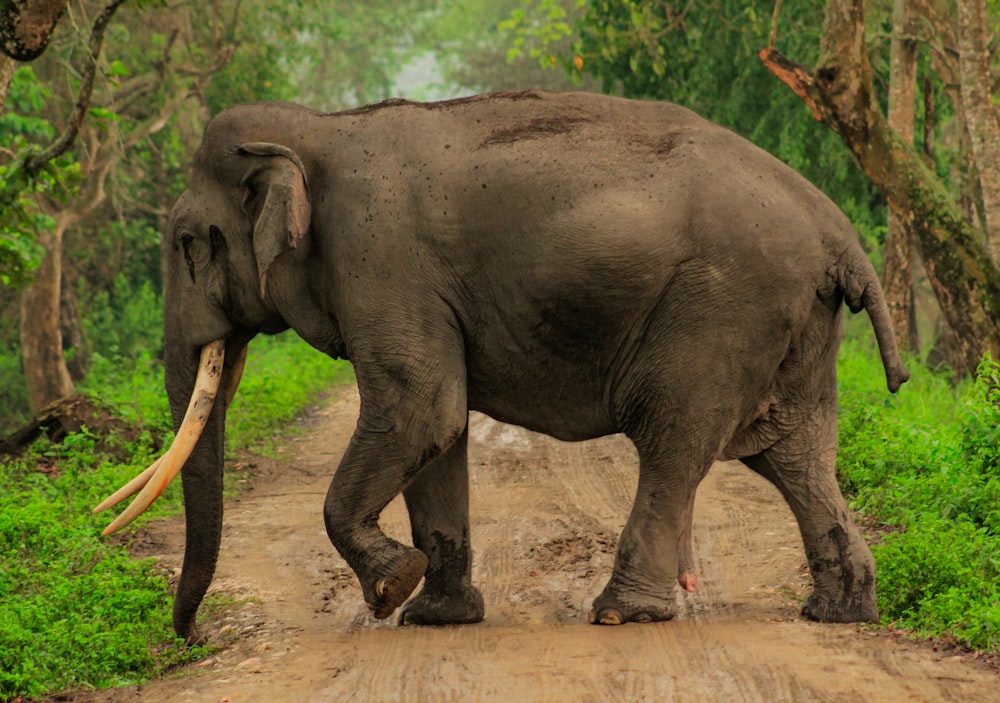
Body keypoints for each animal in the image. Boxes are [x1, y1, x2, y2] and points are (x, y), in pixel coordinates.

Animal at [95, 91, 908, 648]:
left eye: (190, 242)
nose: (192, 635)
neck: (317, 127)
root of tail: (840, 234)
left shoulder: (379, 261)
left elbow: (421, 407)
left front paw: (392, 587)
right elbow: (439, 427)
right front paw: (437, 616)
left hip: (722, 309)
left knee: (674, 440)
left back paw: (621, 613)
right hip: (794, 322)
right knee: (794, 452)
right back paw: (838, 611)